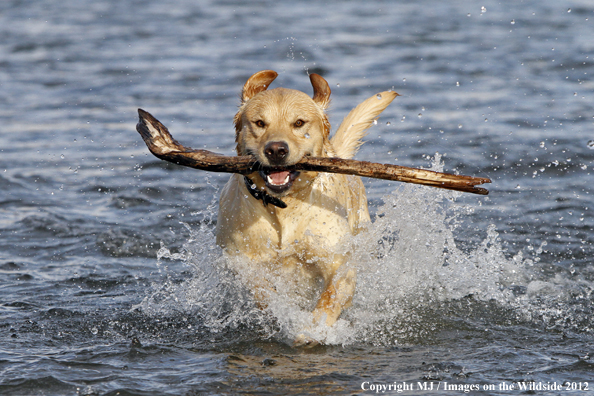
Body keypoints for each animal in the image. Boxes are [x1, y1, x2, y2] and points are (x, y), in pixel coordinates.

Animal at [215, 71, 396, 346]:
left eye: (299, 123)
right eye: (259, 123)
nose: (276, 150)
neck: (285, 206)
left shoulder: (338, 263)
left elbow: (331, 297)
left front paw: (312, 329)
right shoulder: (240, 260)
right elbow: (261, 289)